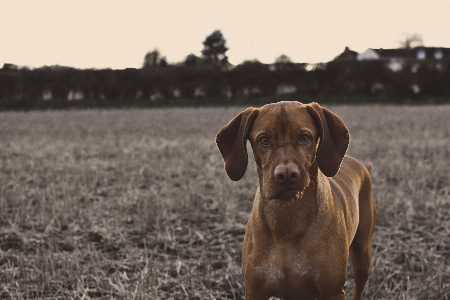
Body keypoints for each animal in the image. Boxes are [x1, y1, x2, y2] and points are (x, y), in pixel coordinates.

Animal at [217, 102, 376, 298]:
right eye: (264, 140)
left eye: (304, 137)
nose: (286, 174)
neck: (287, 223)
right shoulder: (255, 291)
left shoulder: (333, 292)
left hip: (362, 256)